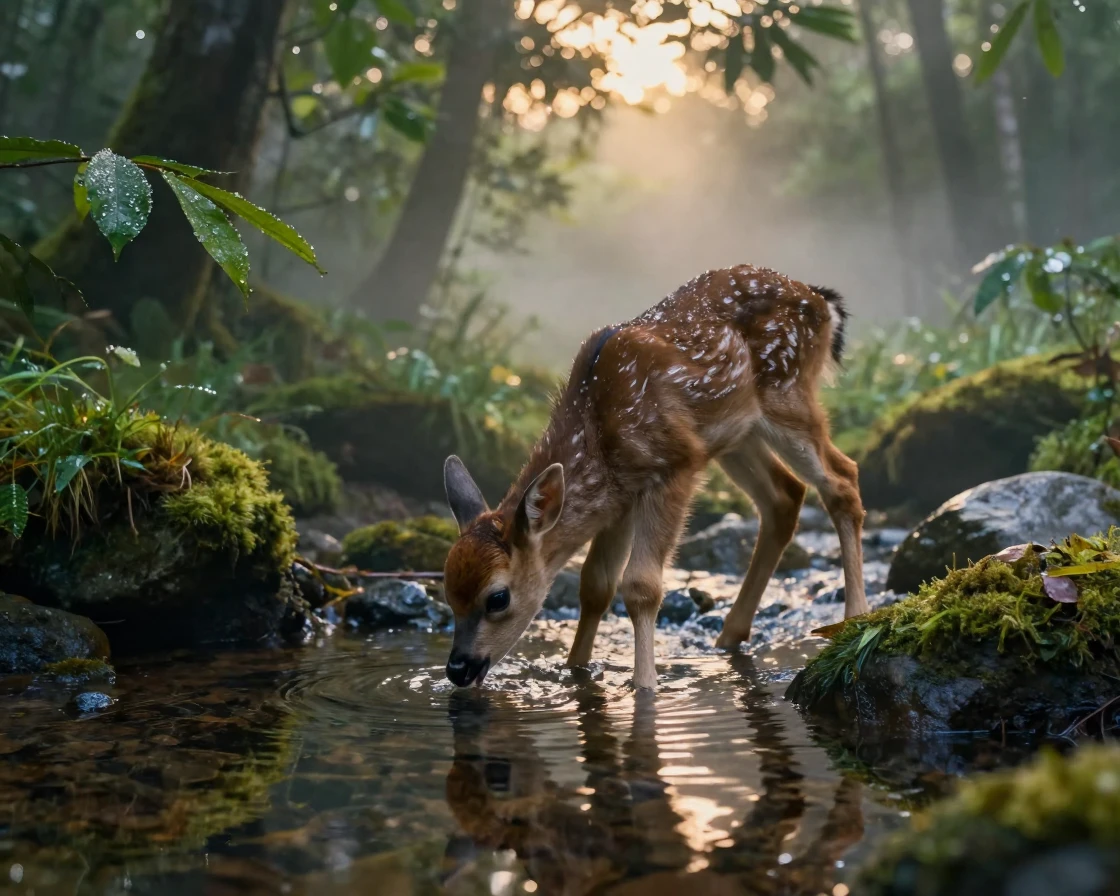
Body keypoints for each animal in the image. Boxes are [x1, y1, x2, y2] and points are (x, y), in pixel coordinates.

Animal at [441, 264, 868, 690]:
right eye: (447, 591)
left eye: (498, 598)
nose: (458, 668)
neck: (596, 430)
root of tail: (821, 300)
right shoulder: (619, 496)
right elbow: (595, 585)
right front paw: (577, 670)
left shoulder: (674, 465)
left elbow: (641, 586)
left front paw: (645, 686)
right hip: (736, 434)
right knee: (785, 495)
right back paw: (730, 635)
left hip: (787, 395)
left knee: (841, 479)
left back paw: (853, 617)